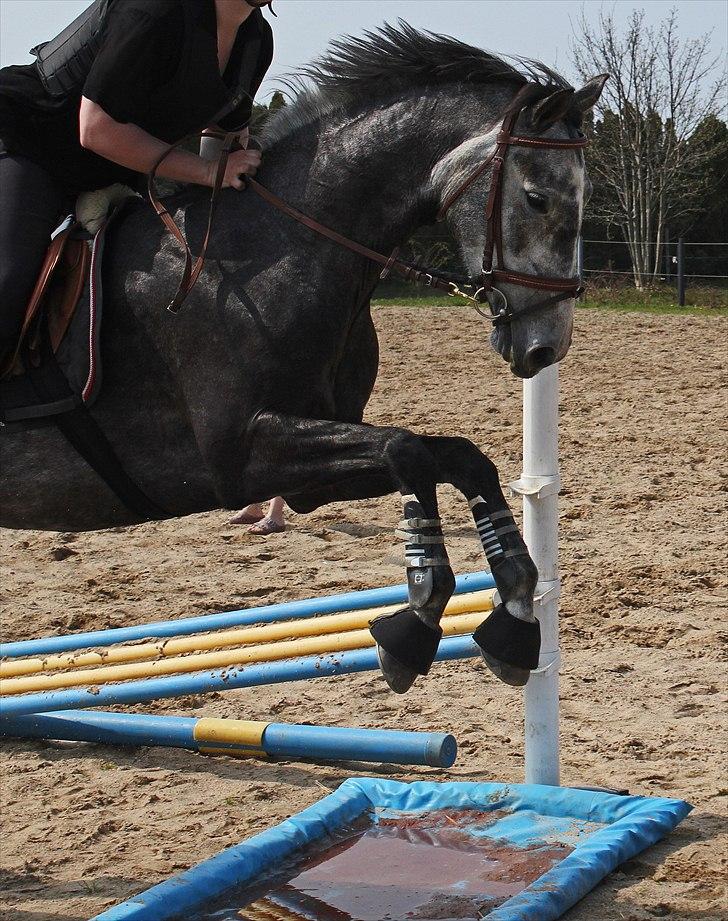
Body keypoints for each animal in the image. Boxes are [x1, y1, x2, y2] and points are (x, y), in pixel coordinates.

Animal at [0, 23, 604, 688]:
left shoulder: (312, 462)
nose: (546, 346)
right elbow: (406, 451)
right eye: (538, 198)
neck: (277, 251)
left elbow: (455, 458)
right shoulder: (239, 456)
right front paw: (416, 618)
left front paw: (515, 615)